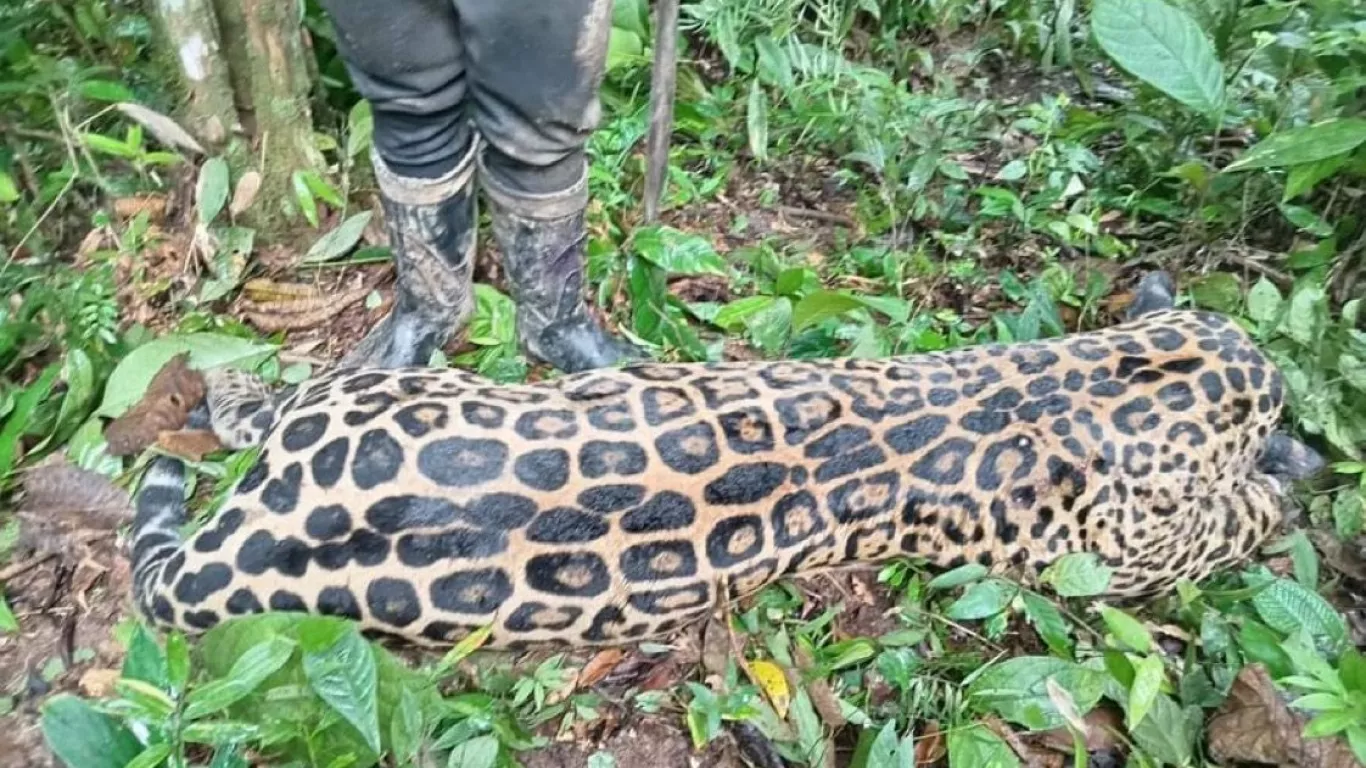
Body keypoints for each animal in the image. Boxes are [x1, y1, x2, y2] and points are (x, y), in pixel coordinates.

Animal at [125, 271, 1325, 650]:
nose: (1284, 406)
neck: (1105, 373)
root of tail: (243, 552)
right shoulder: (1123, 553)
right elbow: (1240, 515)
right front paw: (1293, 462)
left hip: (359, 394)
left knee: (274, 405)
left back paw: (230, 393)